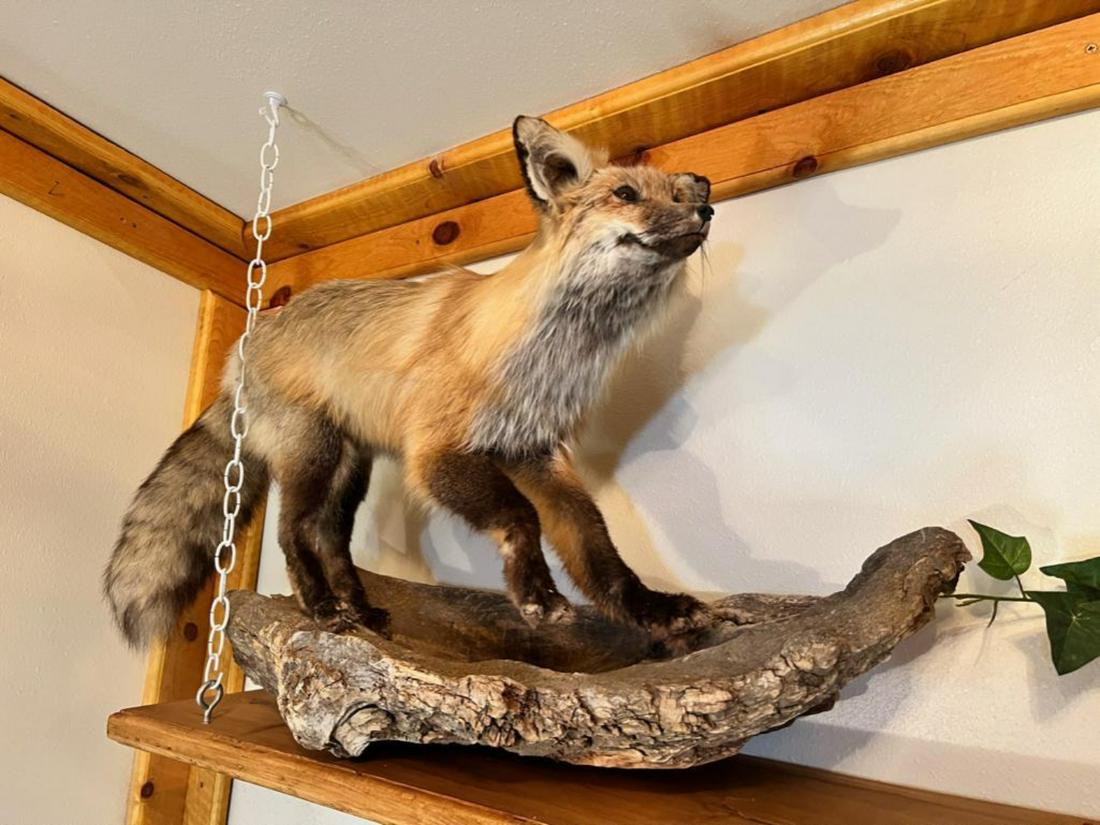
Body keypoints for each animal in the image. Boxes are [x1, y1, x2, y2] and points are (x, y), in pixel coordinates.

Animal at [104, 115, 717, 648]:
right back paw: (320, 606)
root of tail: (244, 346)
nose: (707, 209)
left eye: (678, 197)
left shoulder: (535, 452)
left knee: (330, 538)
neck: (550, 358)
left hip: (352, 467)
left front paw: (650, 609)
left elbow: (596, 546)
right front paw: (537, 595)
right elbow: (519, 515)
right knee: (290, 531)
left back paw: (361, 609)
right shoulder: (437, 449)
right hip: (312, 452)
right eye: (626, 195)